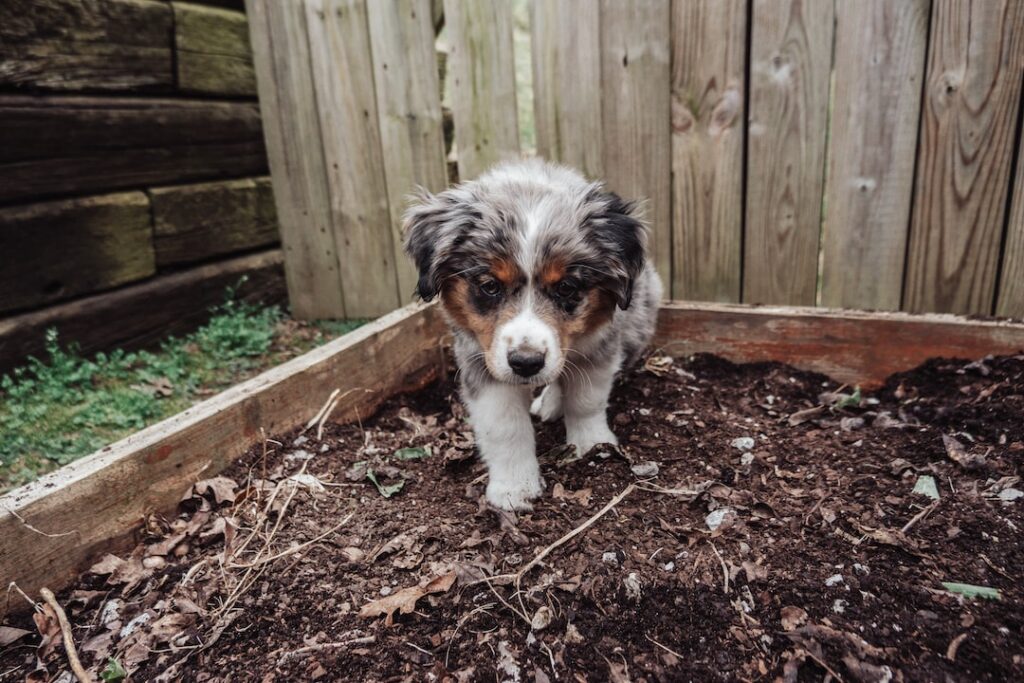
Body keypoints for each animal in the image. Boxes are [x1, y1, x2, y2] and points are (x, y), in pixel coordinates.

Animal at [403, 160, 659, 509]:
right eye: (490, 286)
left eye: (566, 287)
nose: (526, 363)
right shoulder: (481, 360)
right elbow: (504, 427)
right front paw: (514, 488)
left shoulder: (598, 347)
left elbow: (586, 399)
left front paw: (593, 445)